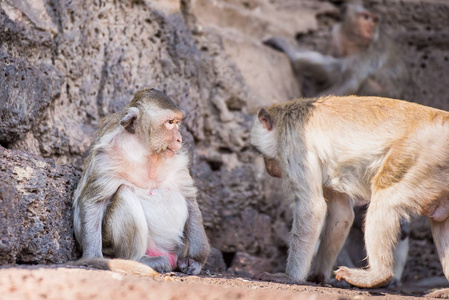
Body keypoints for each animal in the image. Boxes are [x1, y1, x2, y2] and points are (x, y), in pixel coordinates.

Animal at [72, 86, 211, 274]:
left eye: (177, 122)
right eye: (169, 122)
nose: (179, 139)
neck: (146, 153)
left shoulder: (177, 162)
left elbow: (189, 200)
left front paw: (195, 260)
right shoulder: (106, 158)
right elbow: (92, 202)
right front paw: (93, 256)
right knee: (124, 193)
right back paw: (141, 260)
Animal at [252, 95, 449, 290]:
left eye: (262, 154)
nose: (269, 169)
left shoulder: (293, 144)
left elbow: (312, 207)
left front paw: (290, 277)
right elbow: (341, 215)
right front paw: (319, 275)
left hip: (423, 155)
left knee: (386, 197)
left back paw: (378, 276)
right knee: (440, 221)